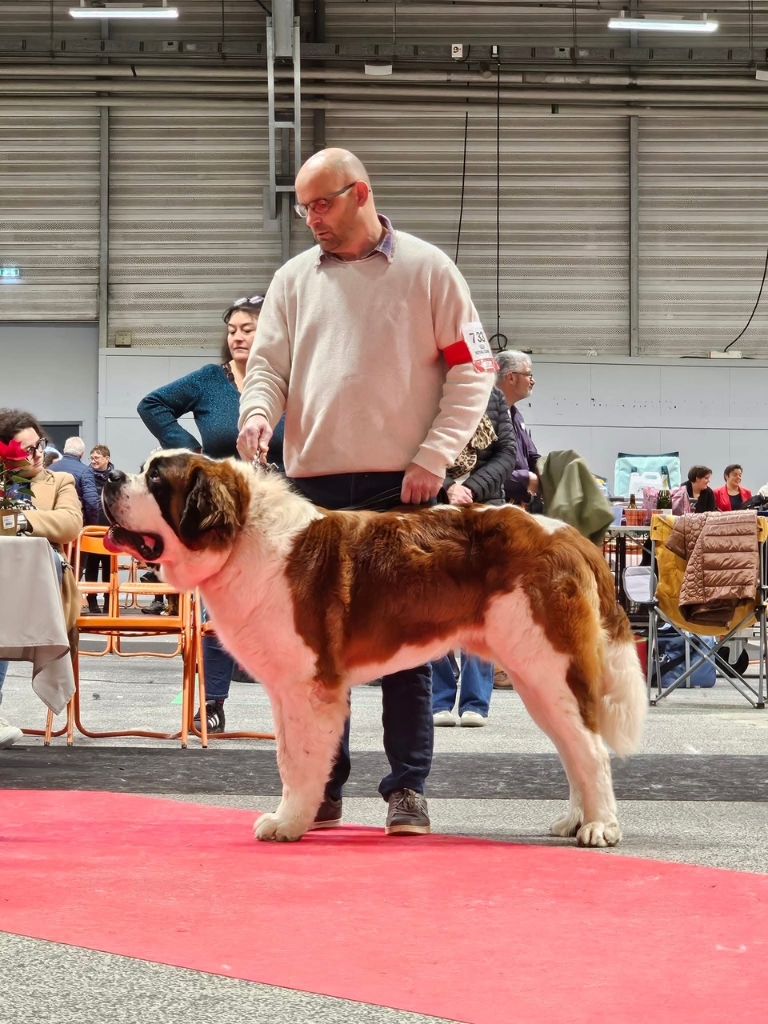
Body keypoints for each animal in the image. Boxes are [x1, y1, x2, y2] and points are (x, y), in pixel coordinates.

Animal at [103, 450, 651, 847]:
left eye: (156, 480)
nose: (108, 475)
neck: (242, 535)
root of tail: (570, 535)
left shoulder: (308, 688)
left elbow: (299, 762)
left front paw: (288, 824)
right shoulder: (288, 689)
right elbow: (290, 756)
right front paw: (301, 816)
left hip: (547, 666)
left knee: (590, 749)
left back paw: (600, 828)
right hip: (537, 676)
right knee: (575, 746)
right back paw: (575, 819)